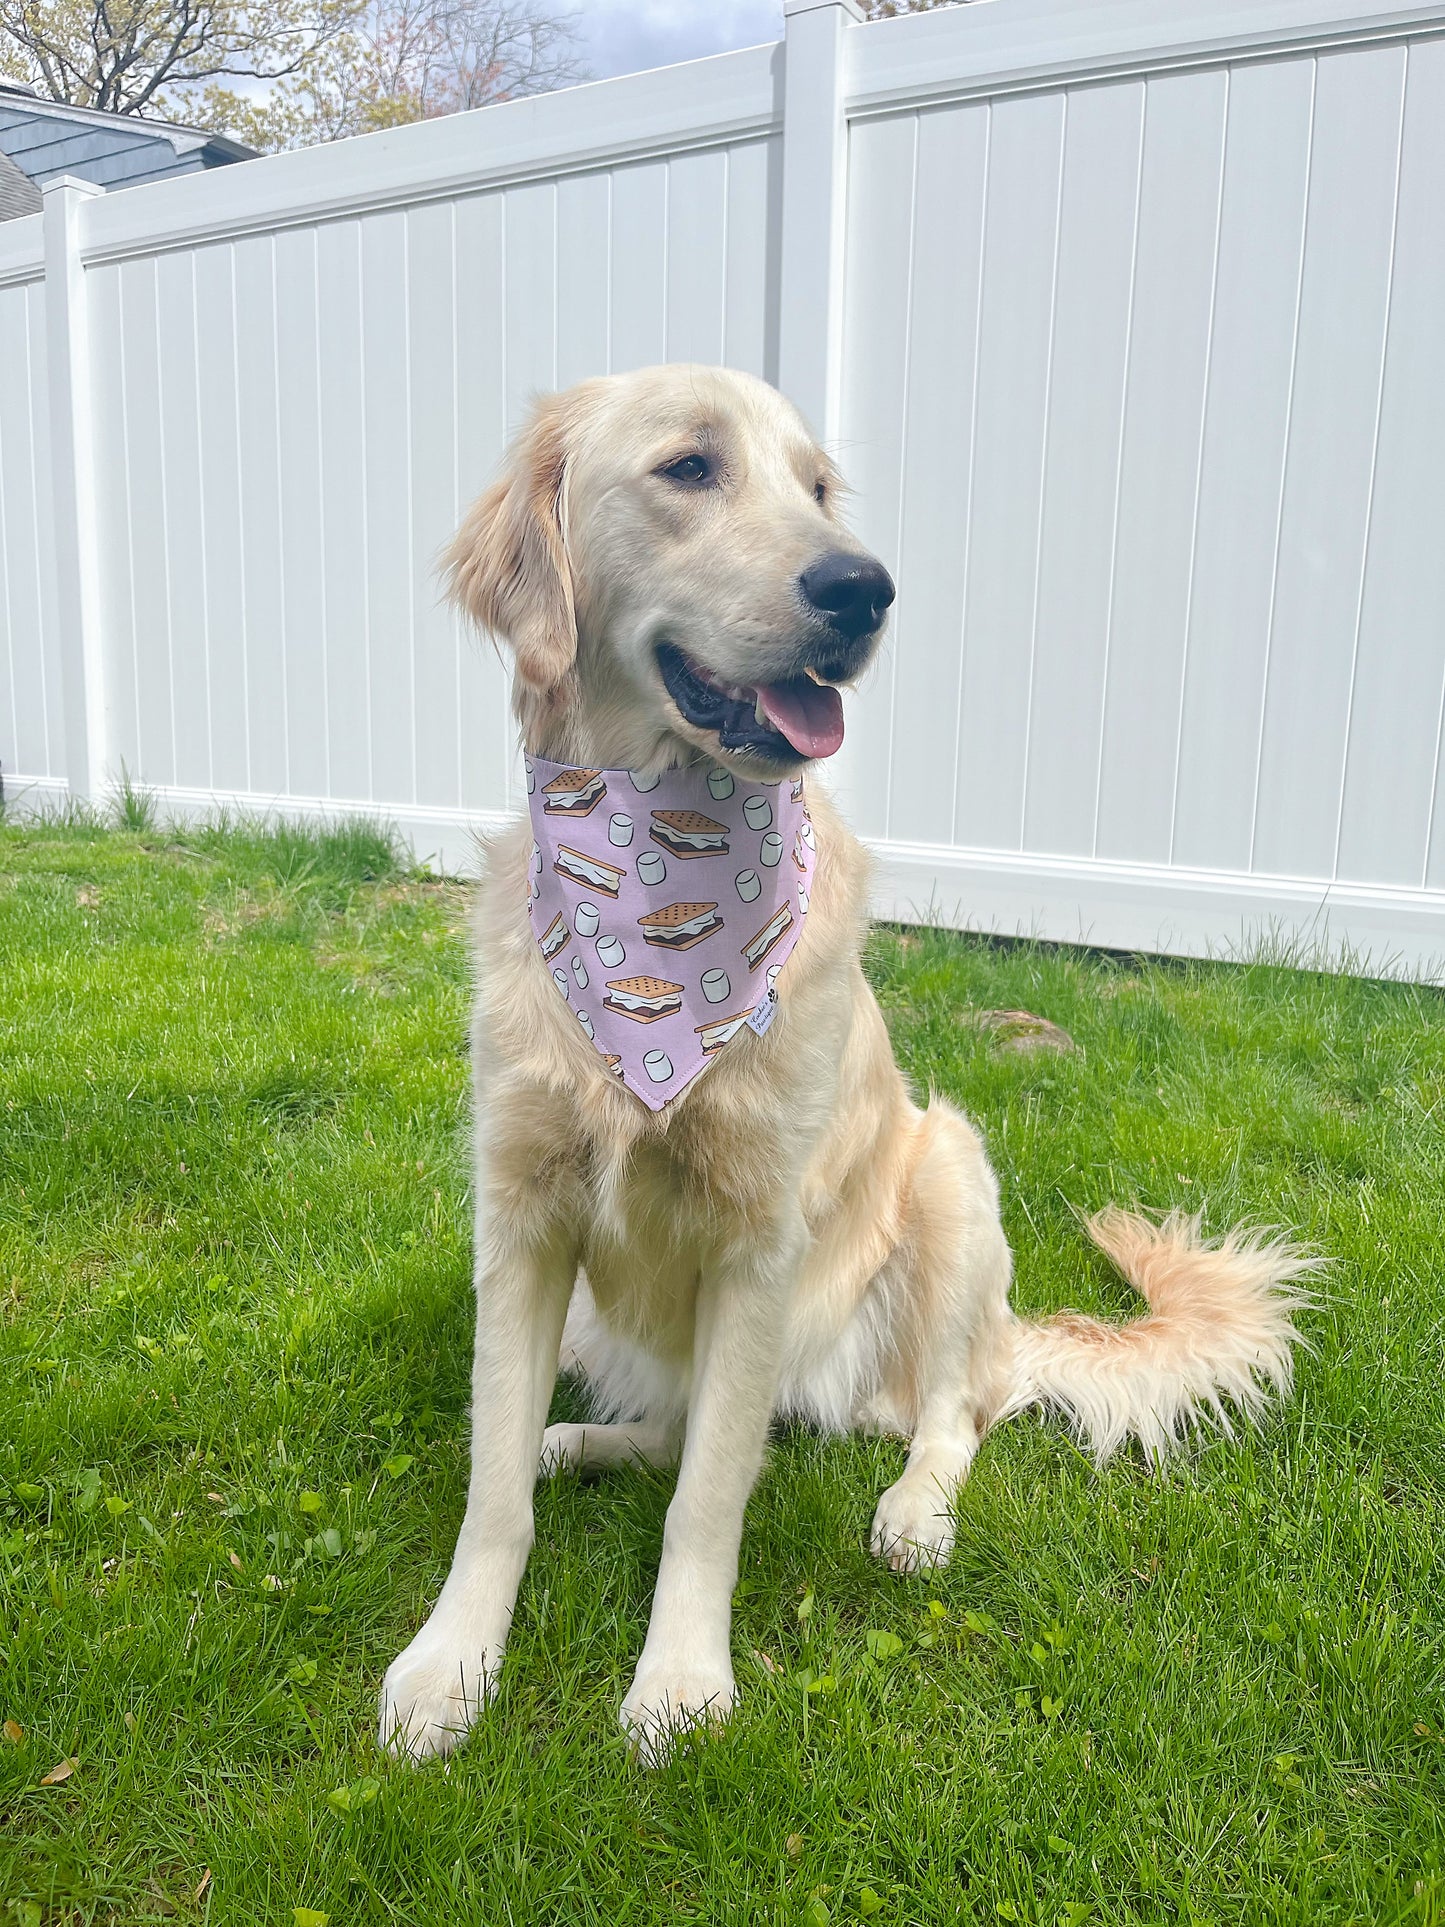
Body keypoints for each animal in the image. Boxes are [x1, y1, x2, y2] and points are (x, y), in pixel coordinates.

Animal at [379, 362, 1317, 1765]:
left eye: (818, 488)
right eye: (689, 467)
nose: (863, 588)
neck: (654, 859)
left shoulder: (758, 1244)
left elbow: (709, 1498)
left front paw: (677, 1681)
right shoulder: (523, 1218)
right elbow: (494, 1486)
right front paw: (451, 1661)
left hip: (947, 1172)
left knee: (945, 1411)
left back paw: (913, 1509)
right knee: (674, 1428)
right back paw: (576, 1435)